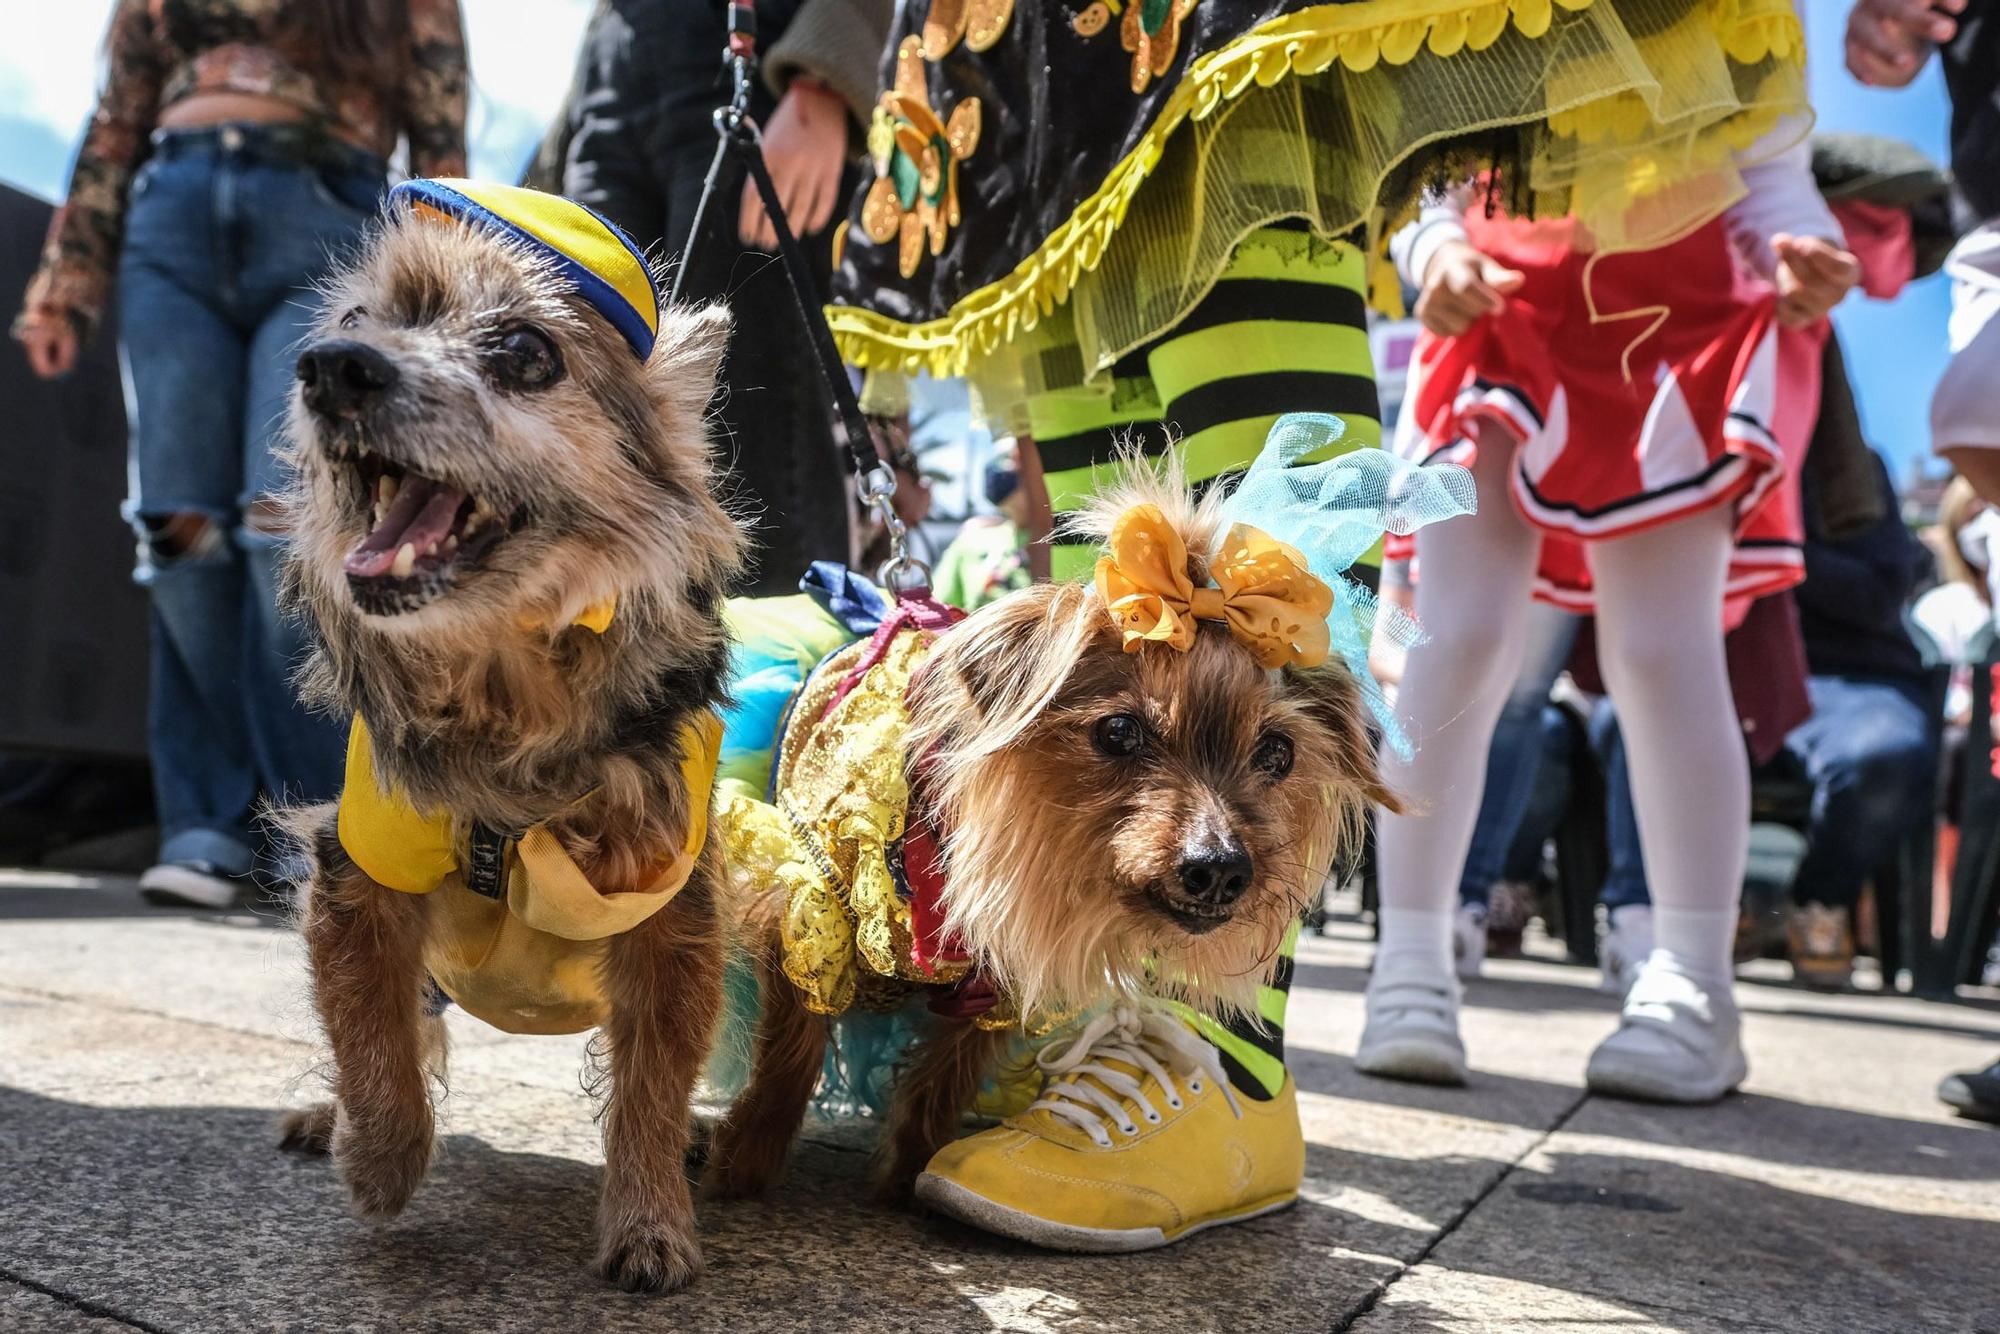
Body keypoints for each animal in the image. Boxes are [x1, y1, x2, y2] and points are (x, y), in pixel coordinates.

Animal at [276, 180, 752, 1296]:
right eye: (356, 320)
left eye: (526, 353)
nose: (330, 366)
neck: (508, 693)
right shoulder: (356, 873)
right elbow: (372, 1035)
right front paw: (379, 1159)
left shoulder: (673, 911)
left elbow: (653, 1083)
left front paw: (651, 1223)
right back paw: (328, 1118)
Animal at [704, 462, 1392, 1200]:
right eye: (1118, 731)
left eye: (1277, 754)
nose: (1220, 869)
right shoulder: (807, 901)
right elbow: (790, 1048)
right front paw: (742, 1163)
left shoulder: (997, 981)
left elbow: (941, 1080)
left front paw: (910, 1174)